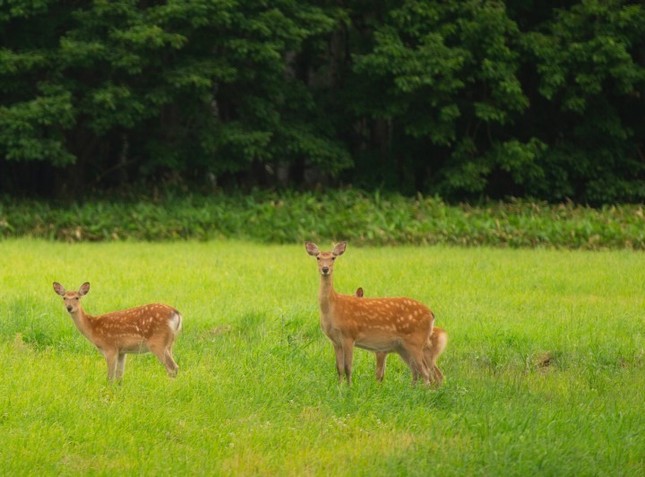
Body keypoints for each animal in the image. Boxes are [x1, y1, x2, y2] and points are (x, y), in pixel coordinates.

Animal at [52, 282, 184, 380]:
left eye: (77, 298)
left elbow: (110, 377)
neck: (93, 327)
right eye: (64, 297)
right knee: (175, 367)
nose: (69, 308)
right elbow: (119, 376)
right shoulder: (122, 351)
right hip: (169, 344)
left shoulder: (110, 348)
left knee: (172, 367)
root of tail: (177, 314)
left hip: (157, 343)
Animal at [304, 240, 436, 384]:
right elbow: (339, 368)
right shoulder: (335, 341)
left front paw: (349, 387)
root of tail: (431, 314)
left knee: (425, 372)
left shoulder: (349, 335)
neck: (333, 308)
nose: (325, 269)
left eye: (333, 257)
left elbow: (348, 367)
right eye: (318, 257)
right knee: (417, 370)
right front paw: (339, 386)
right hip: (404, 346)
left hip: (416, 341)